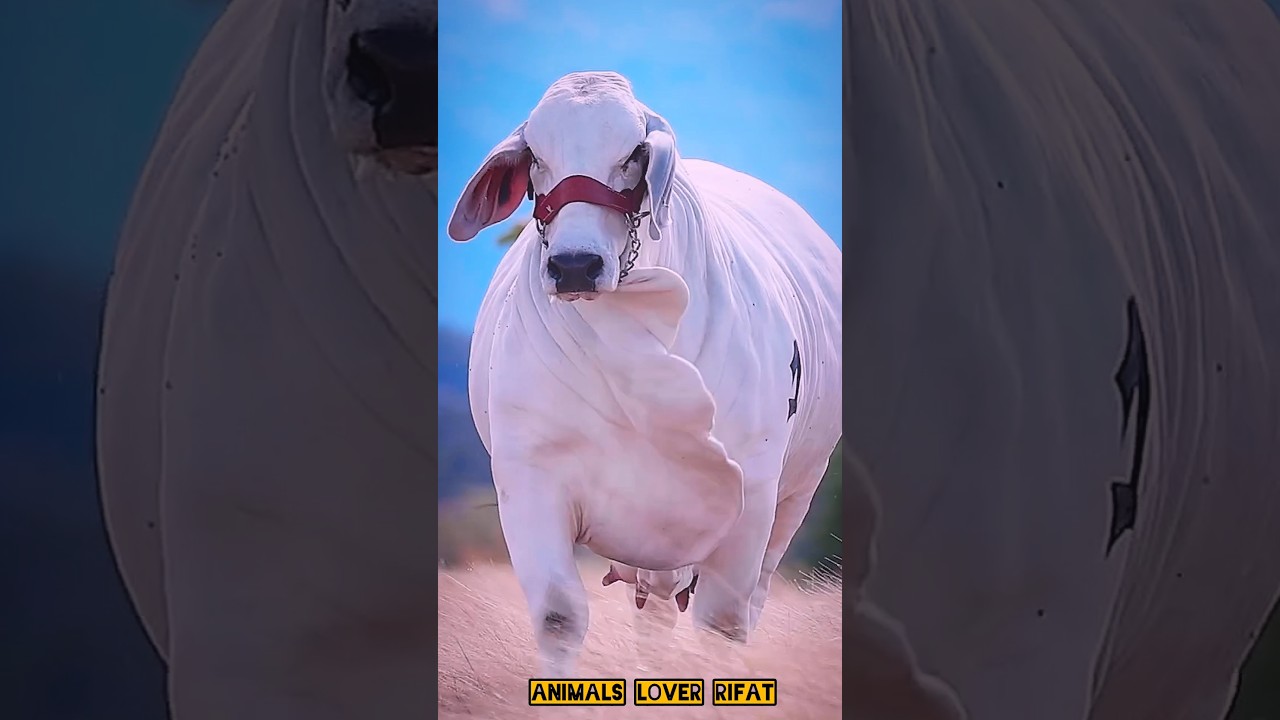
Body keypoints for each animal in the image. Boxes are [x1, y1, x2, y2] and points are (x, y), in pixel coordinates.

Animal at [446, 71, 843, 678]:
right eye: (536, 156)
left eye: (634, 153)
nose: (575, 265)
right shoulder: (529, 479)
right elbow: (560, 617)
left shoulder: (750, 498)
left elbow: (721, 628)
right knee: (654, 612)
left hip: (795, 494)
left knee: (743, 606)